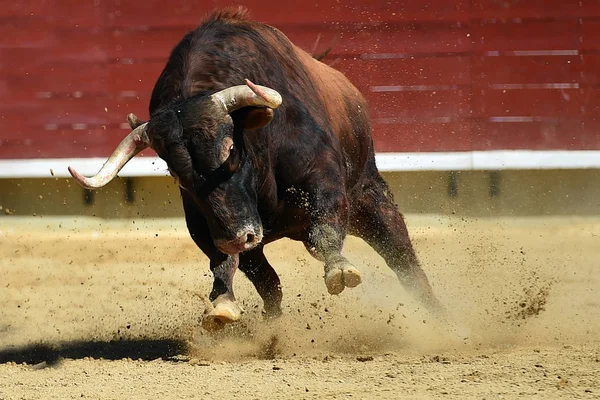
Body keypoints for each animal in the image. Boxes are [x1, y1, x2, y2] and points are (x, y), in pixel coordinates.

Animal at [70, 7, 446, 330]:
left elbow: (324, 229)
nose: (238, 238)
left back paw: (438, 317)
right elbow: (246, 272)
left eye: (231, 149)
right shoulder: (206, 224)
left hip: (370, 198)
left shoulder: (322, 177)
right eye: (175, 173)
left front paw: (339, 270)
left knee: (404, 259)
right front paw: (225, 307)